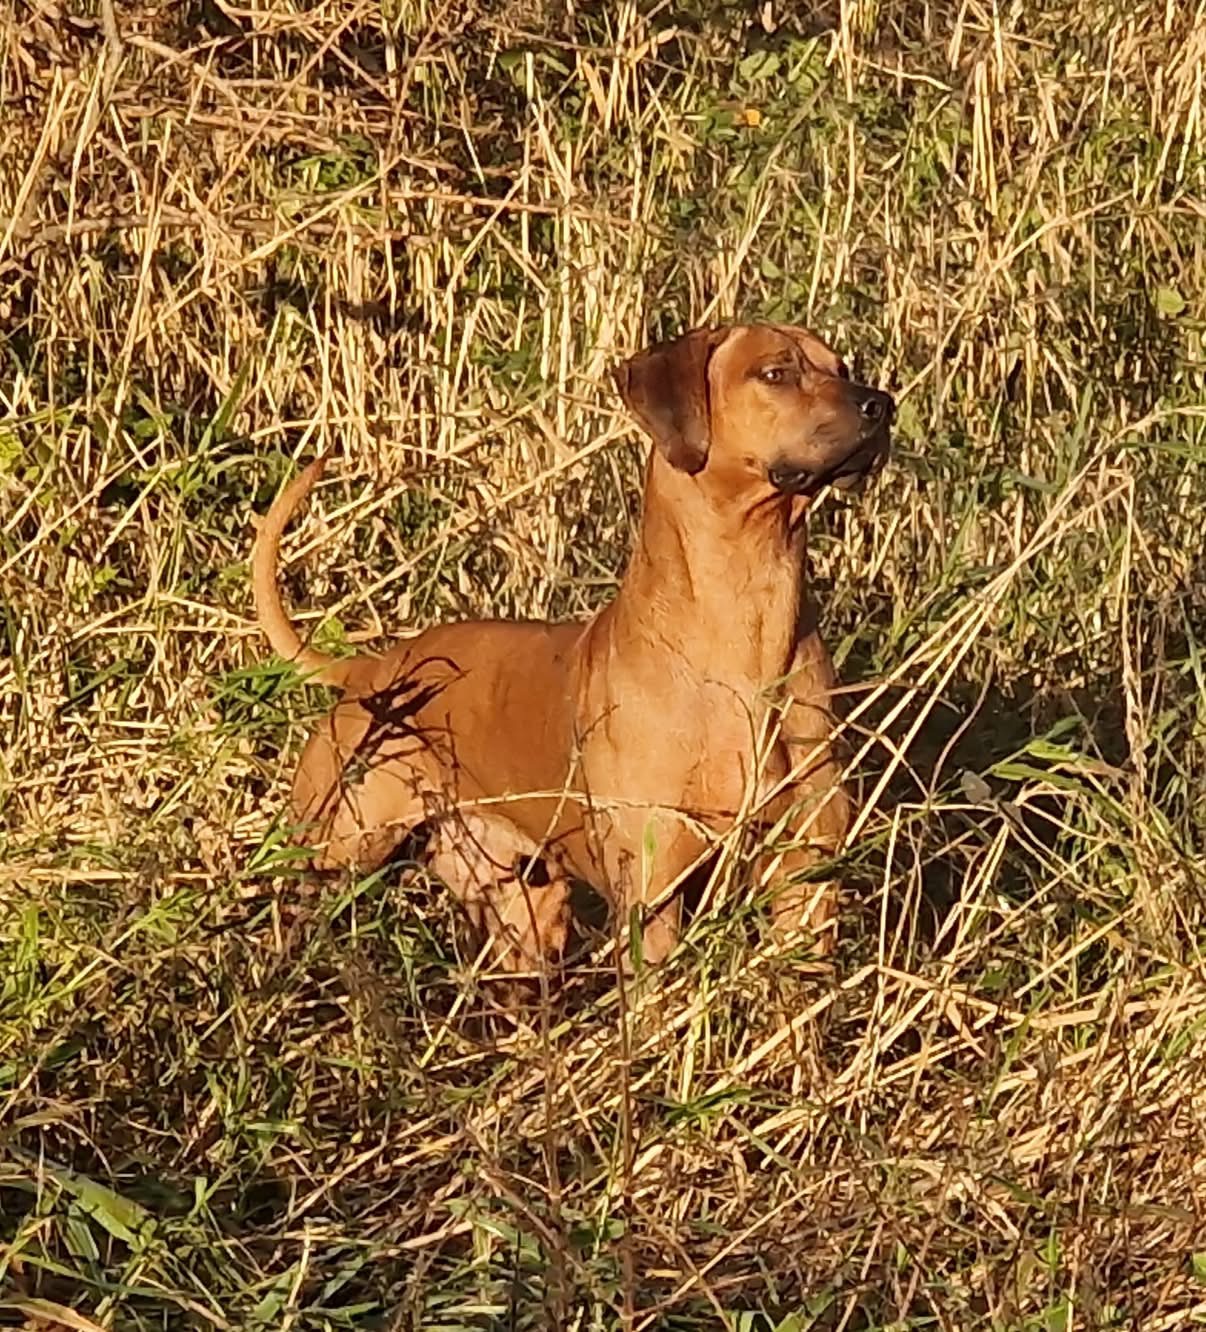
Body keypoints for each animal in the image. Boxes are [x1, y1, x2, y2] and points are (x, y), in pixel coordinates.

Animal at [254, 319, 890, 969]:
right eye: (775, 373)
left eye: (841, 368)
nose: (880, 405)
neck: (744, 624)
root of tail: (371, 668)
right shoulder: (652, 896)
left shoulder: (807, 876)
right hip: (333, 847)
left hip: (520, 904)